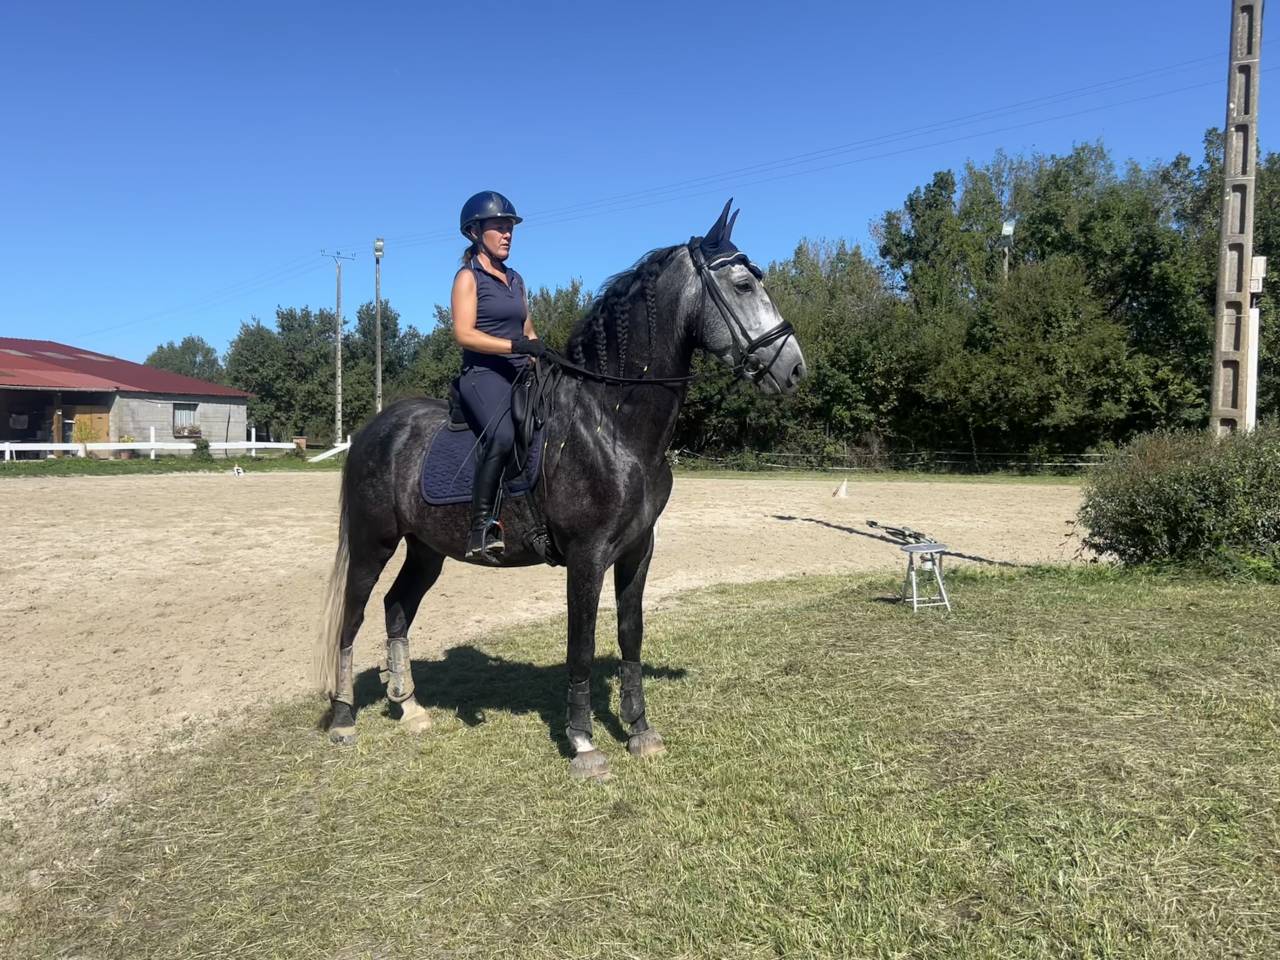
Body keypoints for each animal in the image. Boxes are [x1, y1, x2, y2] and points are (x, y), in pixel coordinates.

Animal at [315, 201, 807, 780]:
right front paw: (583, 741)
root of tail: (374, 428)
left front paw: (639, 730)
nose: (794, 368)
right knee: (354, 615)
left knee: (397, 607)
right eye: (743, 285)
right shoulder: (586, 556)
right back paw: (344, 718)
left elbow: (630, 634)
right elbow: (582, 645)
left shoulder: (638, 550)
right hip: (374, 542)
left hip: (427, 549)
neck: (612, 423)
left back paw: (409, 707)